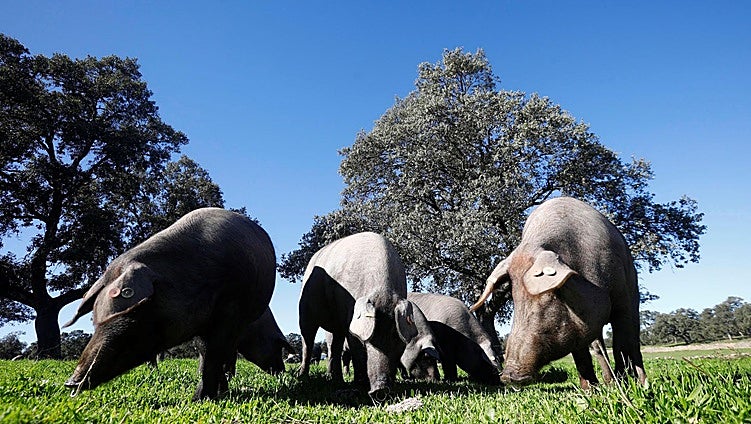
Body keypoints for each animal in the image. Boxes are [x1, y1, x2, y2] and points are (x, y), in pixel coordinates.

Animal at [63, 207, 276, 400]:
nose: (70, 382)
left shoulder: (231, 310)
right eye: (95, 319)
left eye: (133, 314)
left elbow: (213, 354)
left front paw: (200, 399)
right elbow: (205, 352)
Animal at [471, 197, 646, 388]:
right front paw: (589, 390)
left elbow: (621, 346)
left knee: (632, 342)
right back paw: (609, 383)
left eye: (549, 295)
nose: (508, 376)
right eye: (515, 296)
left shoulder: (623, 300)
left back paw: (634, 383)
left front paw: (629, 386)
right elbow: (581, 357)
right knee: (598, 348)